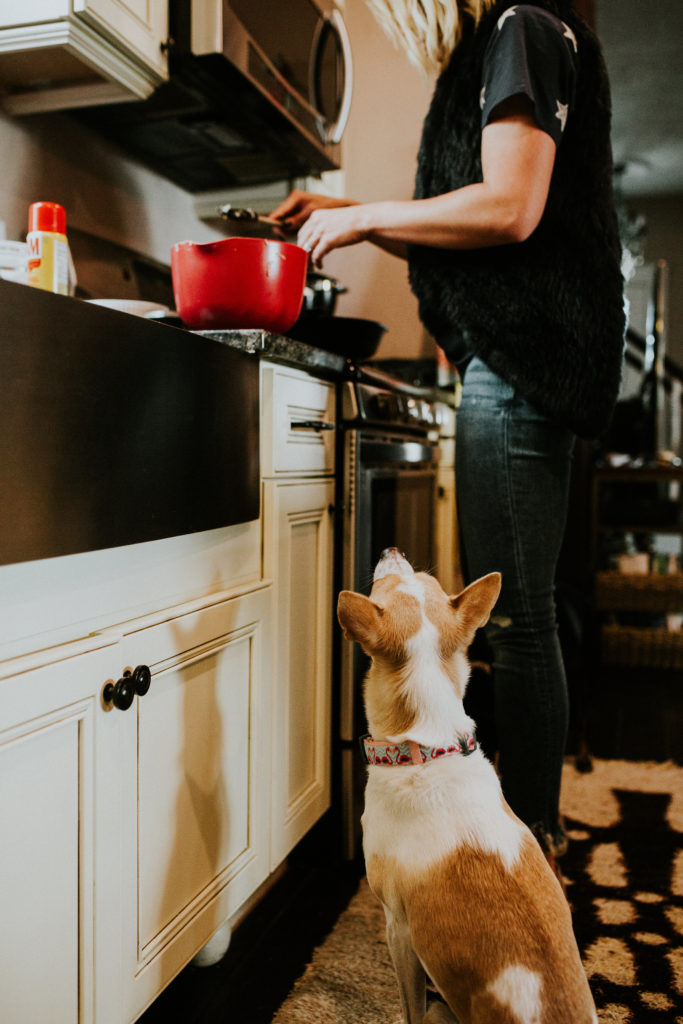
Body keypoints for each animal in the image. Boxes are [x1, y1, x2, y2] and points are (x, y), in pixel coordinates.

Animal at [337, 548, 598, 1024]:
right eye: (426, 579)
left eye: (384, 587)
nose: (391, 551)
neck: (428, 746)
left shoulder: (398, 927)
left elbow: (410, 1005)